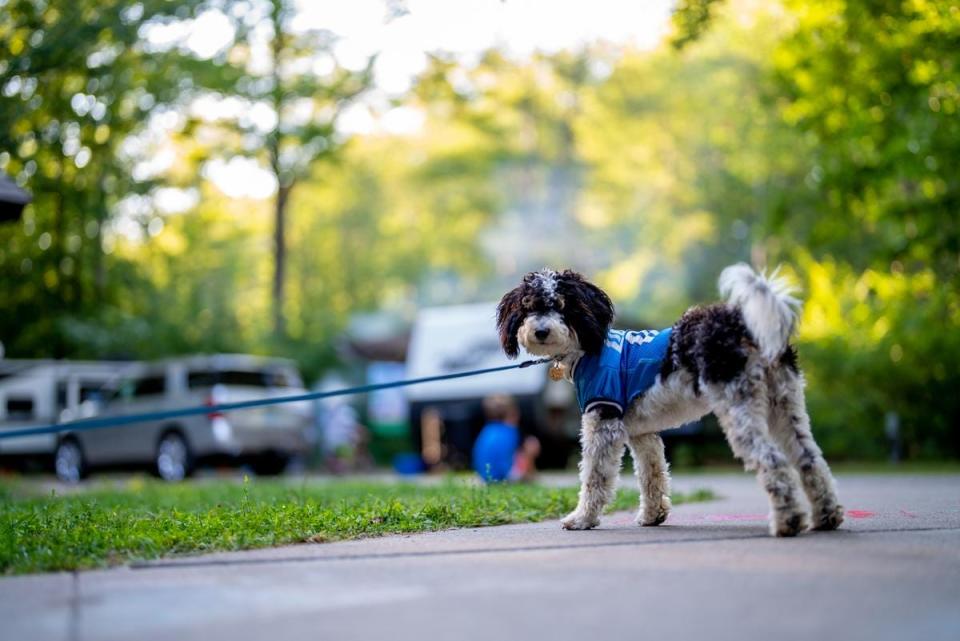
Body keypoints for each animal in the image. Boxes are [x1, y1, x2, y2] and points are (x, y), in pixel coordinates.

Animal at [498, 262, 844, 536]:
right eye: (528, 306)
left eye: (561, 305)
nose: (540, 331)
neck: (588, 347)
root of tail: (742, 324)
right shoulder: (642, 433)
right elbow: (652, 475)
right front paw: (653, 516)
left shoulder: (604, 421)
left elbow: (595, 477)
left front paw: (582, 519)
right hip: (786, 407)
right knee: (810, 459)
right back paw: (826, 516)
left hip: (741, 410)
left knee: (773, 461)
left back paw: (788, 521)